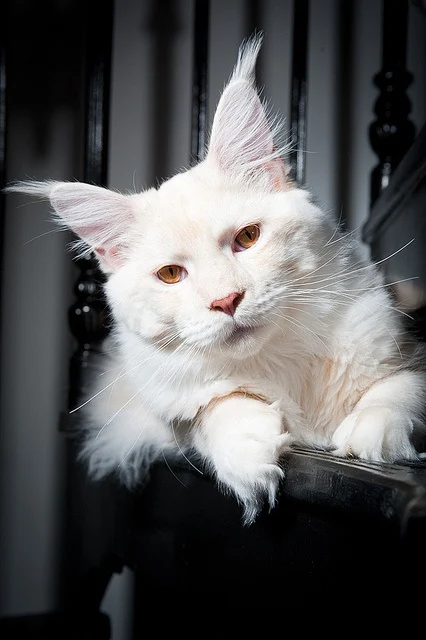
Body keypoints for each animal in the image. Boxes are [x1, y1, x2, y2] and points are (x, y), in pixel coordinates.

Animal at [7, 36, 426, 524]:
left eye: (248, 238)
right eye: (171, 275)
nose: (227, 300)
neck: (282, 365)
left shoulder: (408, 347)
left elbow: (401, 390)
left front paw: (371, 432)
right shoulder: (170, 409)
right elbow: (216, 408)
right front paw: (248, 449)